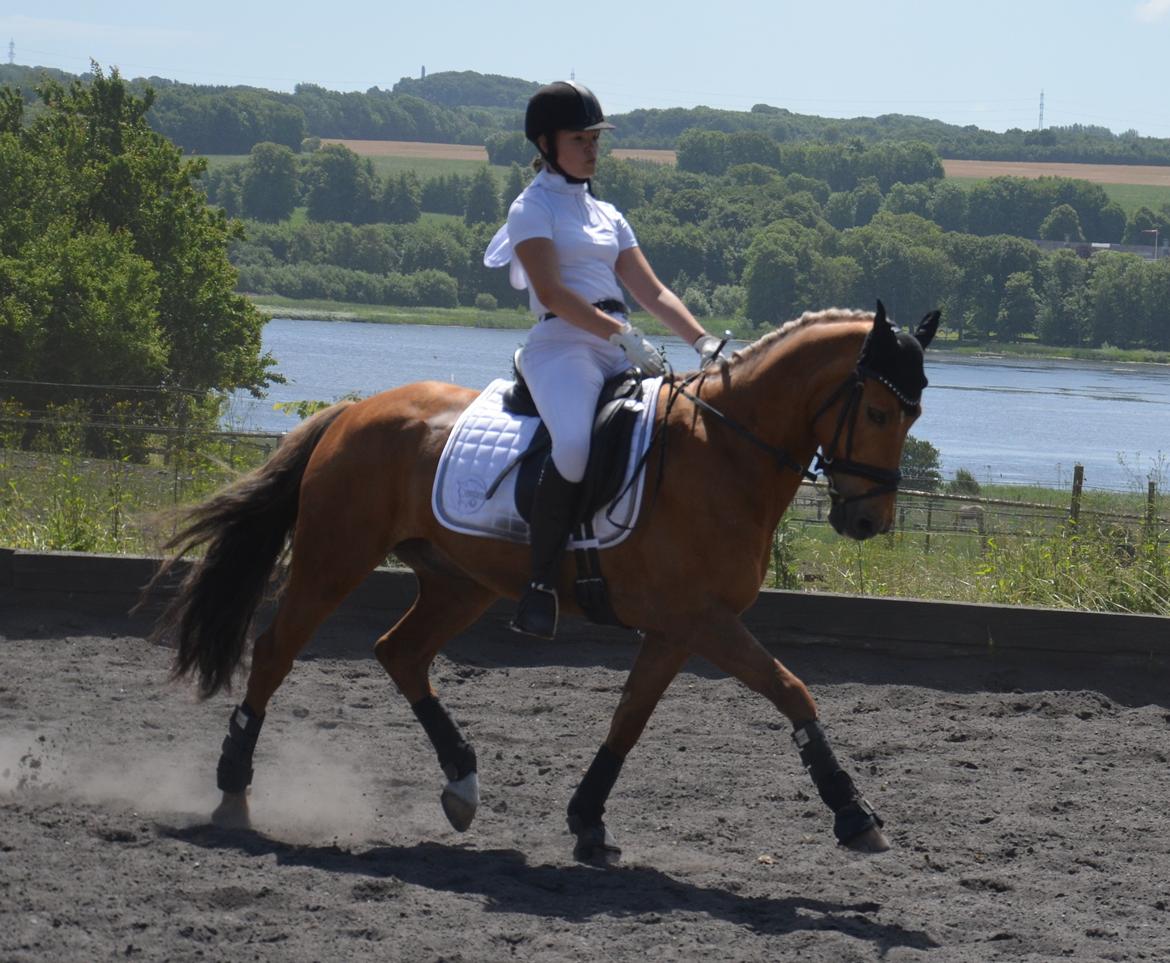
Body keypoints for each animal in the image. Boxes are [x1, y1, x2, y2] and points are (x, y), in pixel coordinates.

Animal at [153, 299, 940, 856]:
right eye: (877, 410)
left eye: (913, 414)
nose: (869, 520)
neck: (725, 451)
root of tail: (354, 411)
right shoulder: (704, 620)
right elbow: (792, 690)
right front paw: (854, 814)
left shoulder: (678, 628)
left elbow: (630, 717)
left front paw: (587, 819)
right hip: (333, 560)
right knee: (276, 653)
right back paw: (233, 791)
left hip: (459, 580)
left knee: (399, 652)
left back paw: (462, 781)